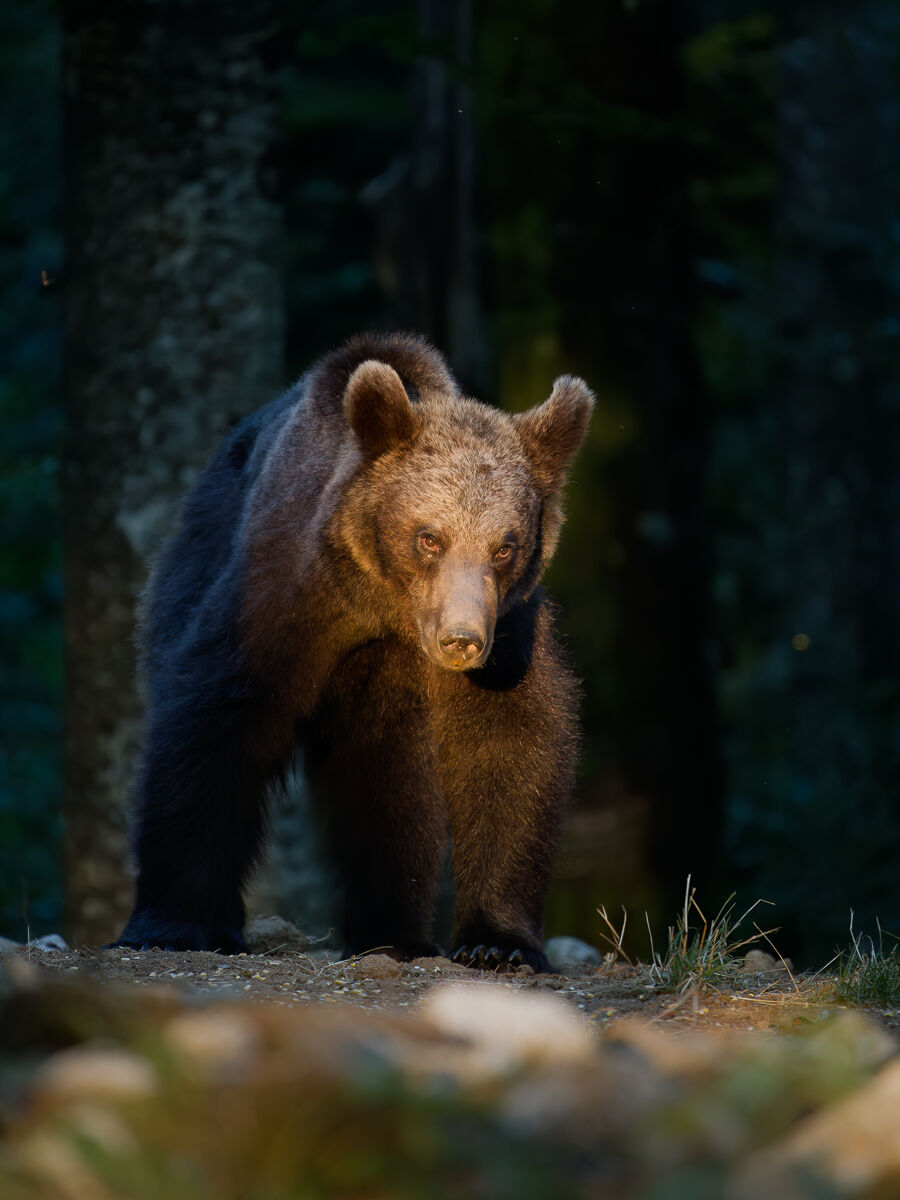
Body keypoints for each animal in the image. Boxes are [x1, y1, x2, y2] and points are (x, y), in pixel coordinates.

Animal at [115, 332, 593, 972]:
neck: (388, 609)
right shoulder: (286, 608)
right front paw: (172, 923)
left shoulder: (507, 635)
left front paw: (498, 943)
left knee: (384, 784)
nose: (462, 640)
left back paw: (390, 934)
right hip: (189, 568)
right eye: (429, 537)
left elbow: (510, 745)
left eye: (504, 546)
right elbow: (212, 726)